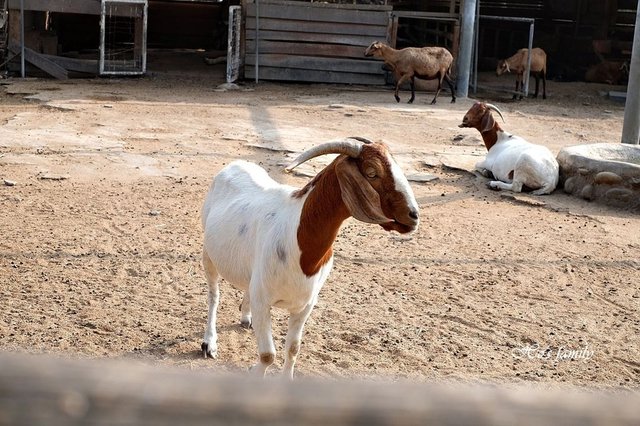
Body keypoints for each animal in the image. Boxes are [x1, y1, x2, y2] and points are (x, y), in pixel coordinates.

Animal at [201, 138, 420, 378]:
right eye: (372, 172)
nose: (413, 216)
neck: (300, 242)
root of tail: (235, 164)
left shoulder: (304, 306)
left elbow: (293, 349)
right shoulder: (263, 302)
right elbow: (268, 355)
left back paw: (245, 318)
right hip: (208, 255)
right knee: (213, 296)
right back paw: (209, 343)